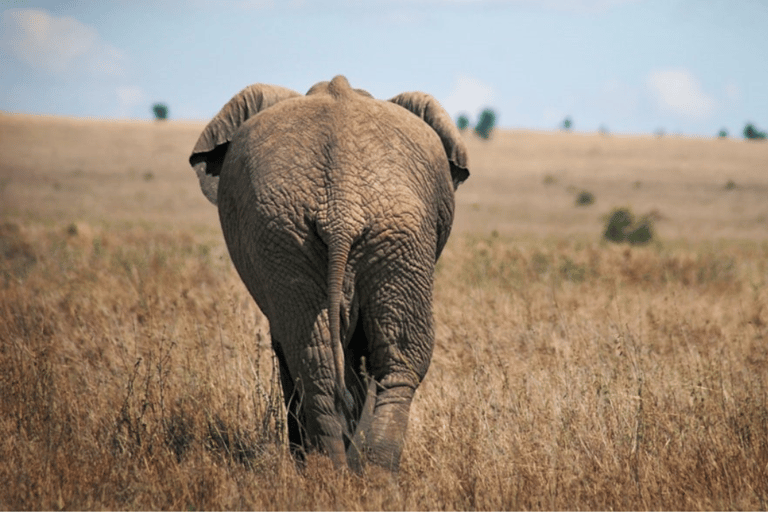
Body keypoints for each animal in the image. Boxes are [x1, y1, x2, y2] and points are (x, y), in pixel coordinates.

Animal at [189, 75, 472, 472]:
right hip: (310, 235)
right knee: (353, 359)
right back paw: (354, 473)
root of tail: (342, 207)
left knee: (335, 357)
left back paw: (346, 472)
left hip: (353, 233)